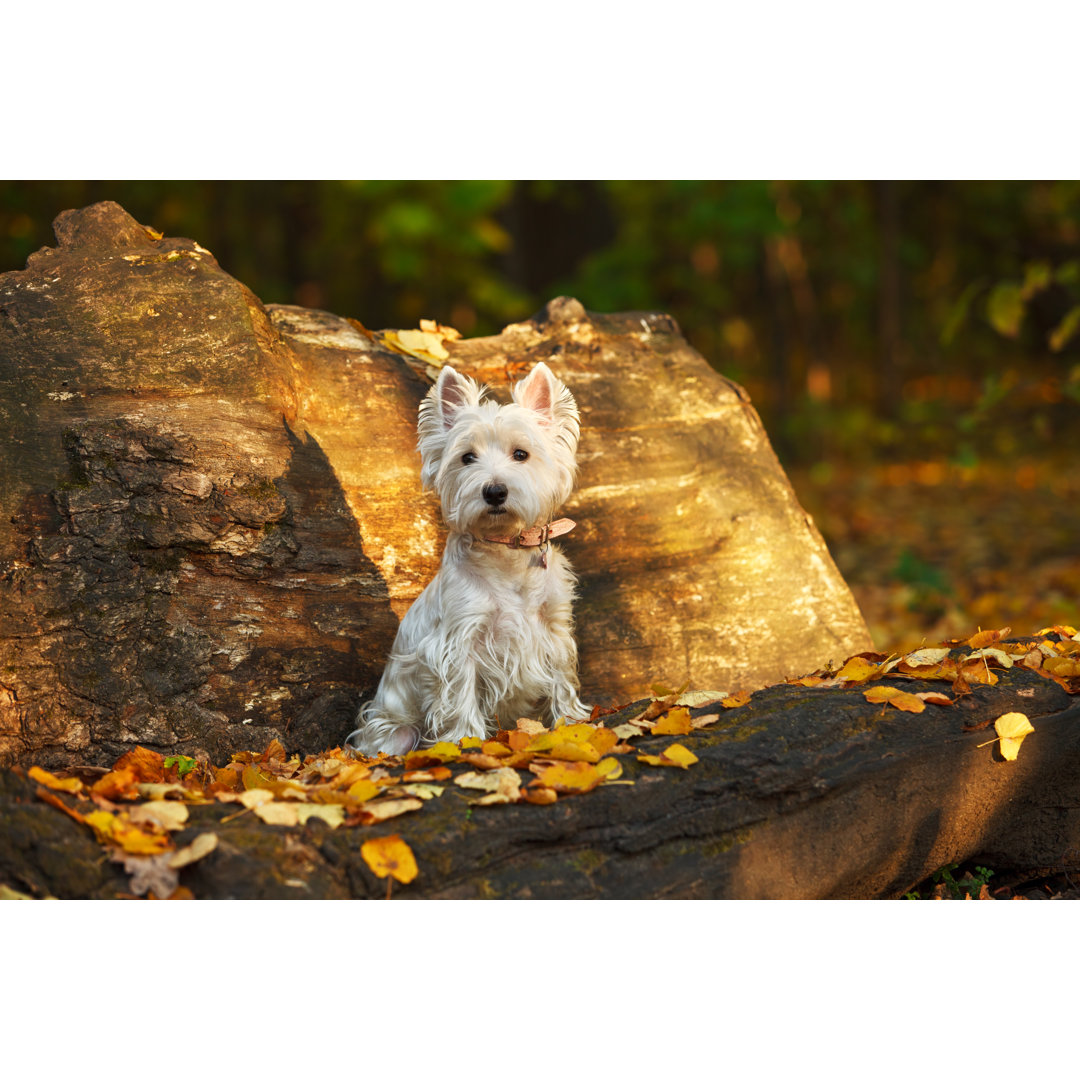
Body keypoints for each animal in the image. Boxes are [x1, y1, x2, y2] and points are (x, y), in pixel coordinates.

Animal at [347, 358, 591, 756]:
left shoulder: (554, 628)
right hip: (396, 731)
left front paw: (571, 721)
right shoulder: (459, 641)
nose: (494, 491)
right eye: (467, 458)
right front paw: (466, 739)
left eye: (521, 454)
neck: (506, 550)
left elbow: (562, 677)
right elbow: (460, 692)